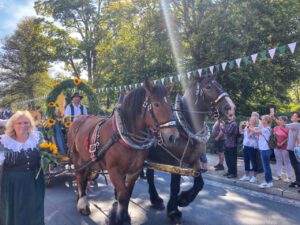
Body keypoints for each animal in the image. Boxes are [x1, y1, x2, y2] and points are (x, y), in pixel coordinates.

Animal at [67, 79, 179, 225]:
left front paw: (124, 217)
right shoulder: (114, 170)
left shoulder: (135, 170)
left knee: (84, 177)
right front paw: (119, 219)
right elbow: (123, 196)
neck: (123, 135)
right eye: (156, 104)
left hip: (88, 160)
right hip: (77, 158)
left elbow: (128, 194)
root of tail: (78, 119)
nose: (173, 136)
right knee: (80, 177)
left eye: (170, 105)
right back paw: (82, 204)